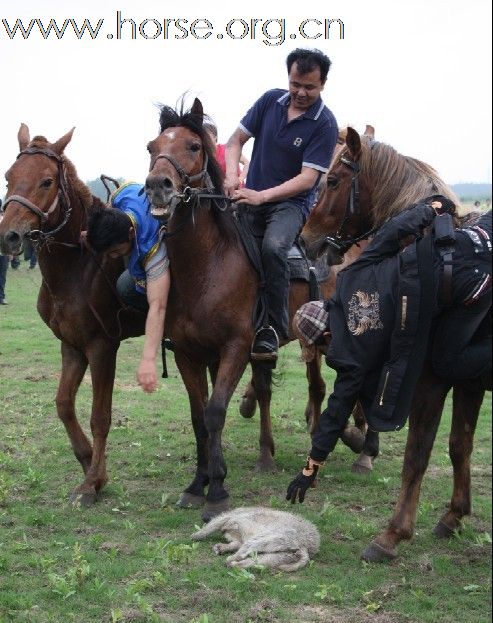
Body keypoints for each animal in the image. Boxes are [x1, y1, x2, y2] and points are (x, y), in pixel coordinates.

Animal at [0, 125, 146, 508]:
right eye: (9, 177)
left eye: (47, 181)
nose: (9, 235)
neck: (79, 265)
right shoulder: (72, 345)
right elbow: (64, 404)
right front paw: (89, 463)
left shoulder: (102, 346)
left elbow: (100, 417)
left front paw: (92, 482)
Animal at [298, 125, 486, 560]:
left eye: (333, 181)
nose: (306, 239)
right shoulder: (467, 382)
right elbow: (460, 444)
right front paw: (454, 515)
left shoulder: (431, 381)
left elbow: (417, 455)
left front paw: (393, 534)